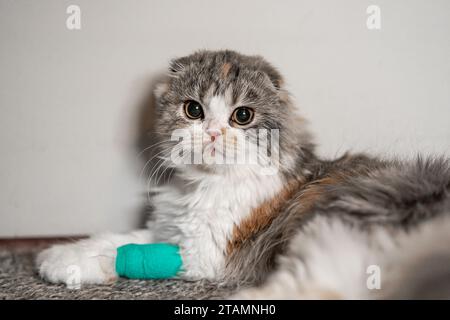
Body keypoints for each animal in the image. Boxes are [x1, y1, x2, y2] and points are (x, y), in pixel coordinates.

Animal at [36, 50, 450, 300]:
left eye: (242, 116)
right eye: (193, 110)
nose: (213, 133)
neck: (204, 184)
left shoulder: (206, 252)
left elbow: (126, 252)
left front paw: (77, 264)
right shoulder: (171, 228)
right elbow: (117, 237)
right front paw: (59, 256)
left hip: (340, 230)